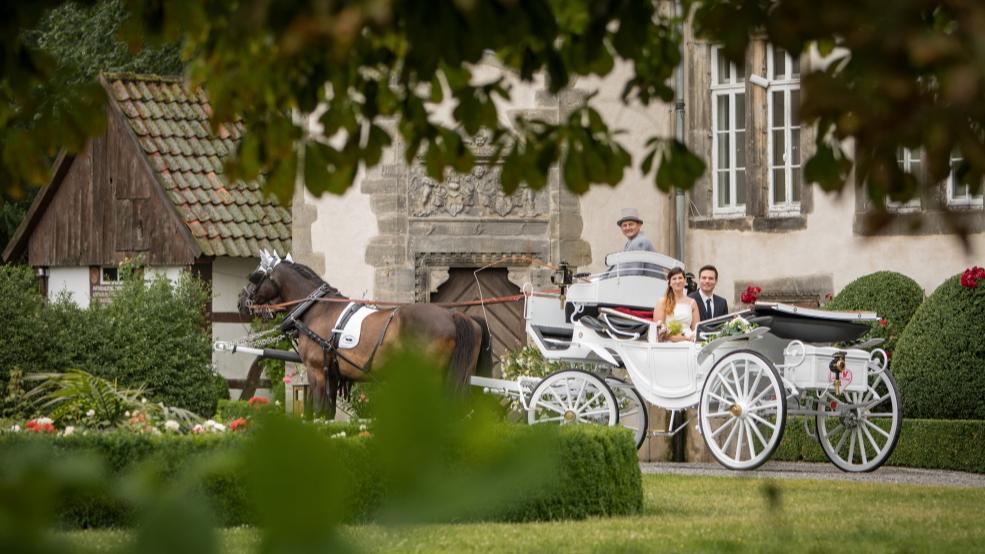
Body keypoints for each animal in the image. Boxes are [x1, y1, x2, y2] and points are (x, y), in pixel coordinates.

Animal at [238, 254, 492, 414]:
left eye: (256, 275)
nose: (241, 300)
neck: (318, 309)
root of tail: (453, 315)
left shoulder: (317, 371)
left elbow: (318, 413)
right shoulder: (332, 376)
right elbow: (327, 415)